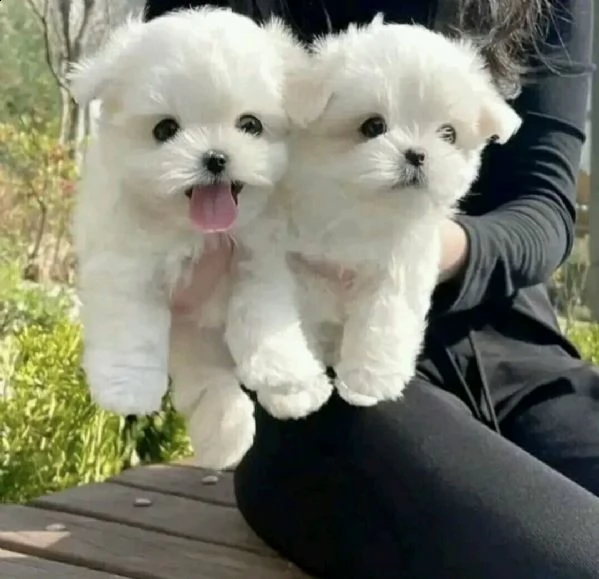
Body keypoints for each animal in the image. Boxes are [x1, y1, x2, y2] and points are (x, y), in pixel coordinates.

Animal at [71, 6, 332, 472]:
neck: (197, 231)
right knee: (211, 385)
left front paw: (282, 369)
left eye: (250, 125)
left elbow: (262, 311)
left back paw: (299, 391)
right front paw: (127, 387)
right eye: (164, 130)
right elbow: (130, 325)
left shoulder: (262, 258)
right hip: (192, 345)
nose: (215, 158)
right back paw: (225, 436)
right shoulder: (124, 263)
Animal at [278, 17, 524, 408]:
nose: (417, 154)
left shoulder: (401, 263)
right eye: (373, 126)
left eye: (448, 133)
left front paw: (366, 383)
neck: (359, 206)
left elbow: (385, 319)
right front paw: (297, 391)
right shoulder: (295, 259)